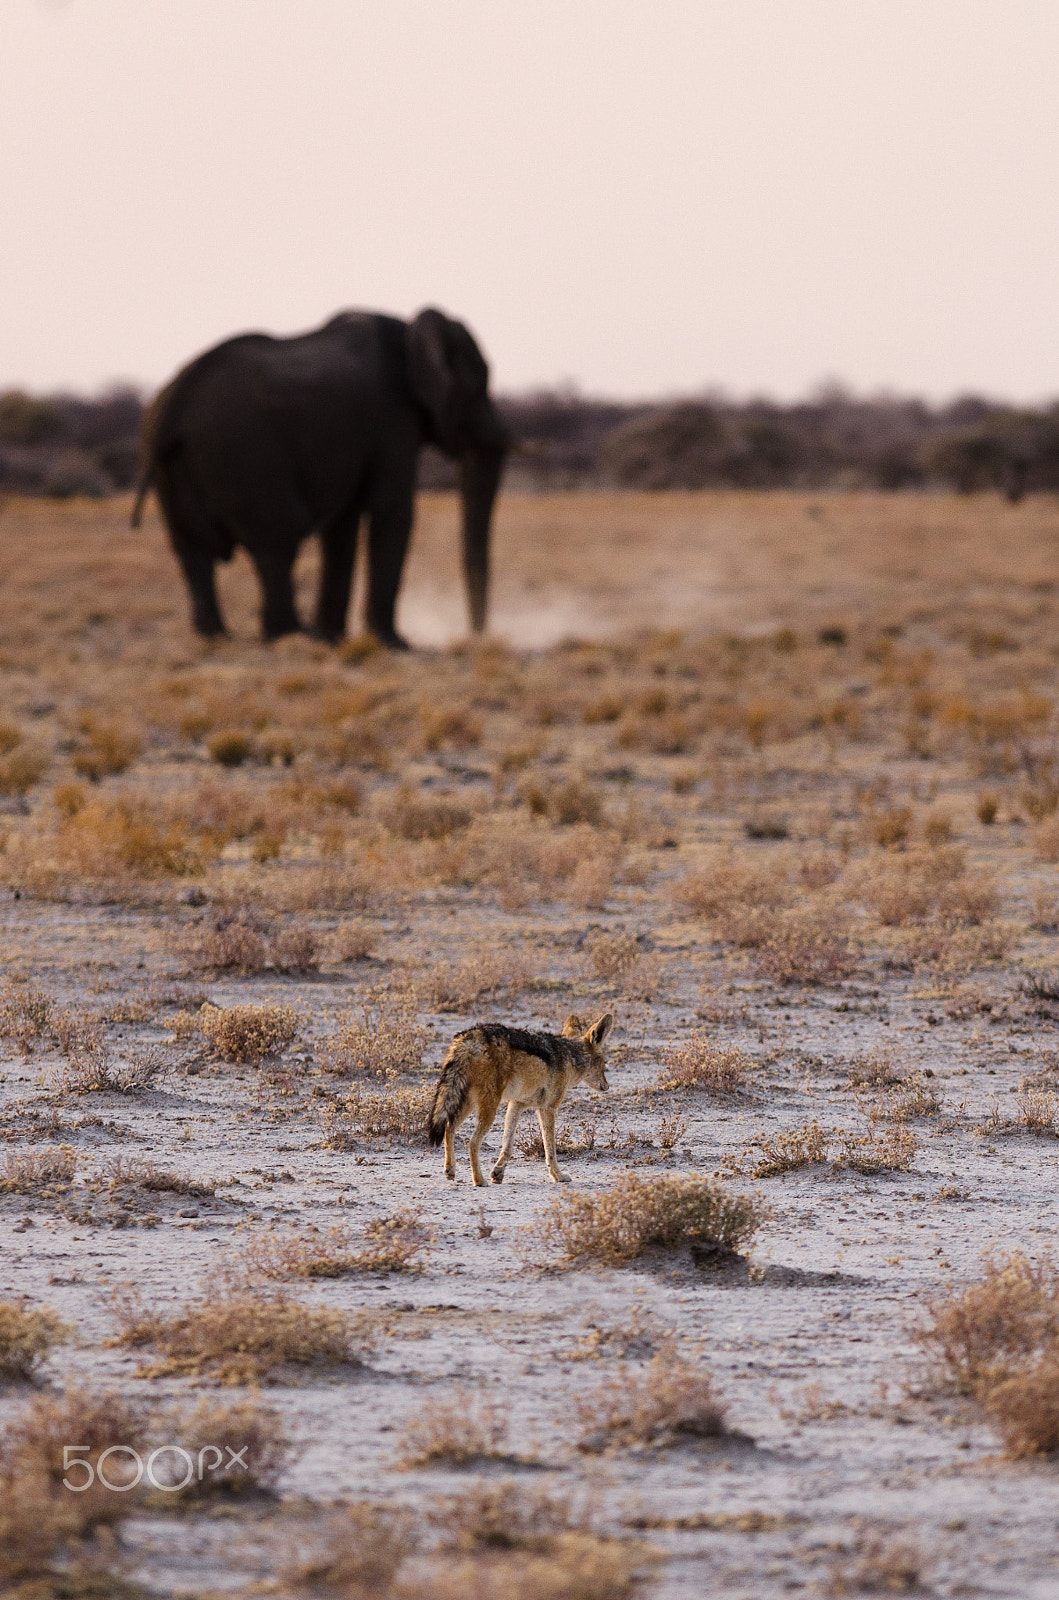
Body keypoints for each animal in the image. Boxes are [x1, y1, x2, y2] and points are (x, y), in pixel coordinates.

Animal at [130, 305, 511, 643]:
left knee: (192, 551)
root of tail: (174, 405)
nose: (476, 636)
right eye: (480, 386)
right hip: (245, 453)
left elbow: (343, 523)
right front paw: (394, 644)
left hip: (172, 463)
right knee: (277, 540)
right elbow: (392, 510)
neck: (409, 330)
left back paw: (220, 637)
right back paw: (291, 634)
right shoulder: (392, 416)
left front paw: (336, 637)